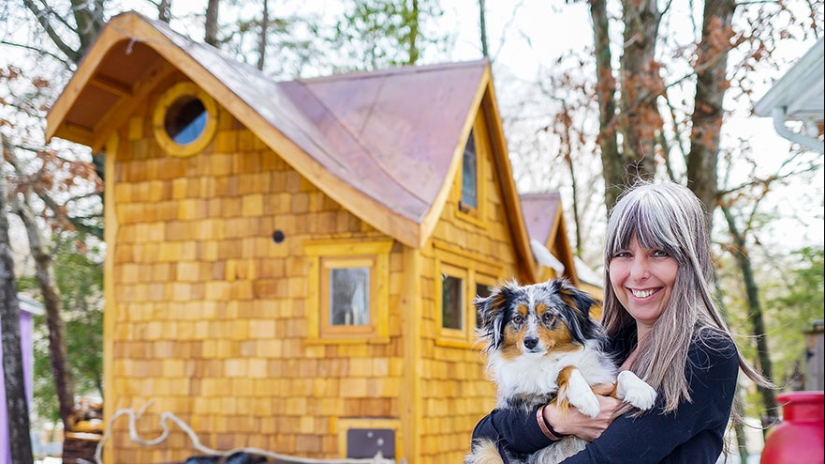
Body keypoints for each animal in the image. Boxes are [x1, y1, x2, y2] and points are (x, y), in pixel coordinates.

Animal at [466, 280, 652, 464]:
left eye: (548, 315)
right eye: (517, 318)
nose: (530, 341)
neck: (549, 358)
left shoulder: (604, 390)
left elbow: (623, 374)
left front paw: (642, 391)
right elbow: (567, 368)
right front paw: (585, 398)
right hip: (486, 449)